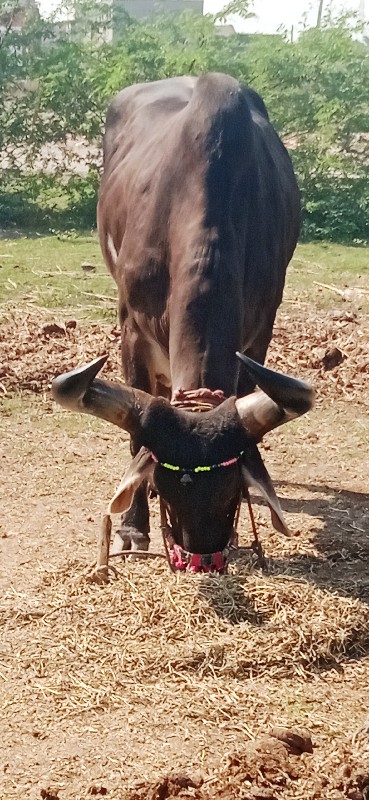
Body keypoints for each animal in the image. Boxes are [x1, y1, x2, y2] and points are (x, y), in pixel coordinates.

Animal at [51, 70, 310, 568]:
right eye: (169, 489)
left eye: (231, 492)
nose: (201, 557)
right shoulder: (132, 331)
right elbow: (138, 440)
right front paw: (133, 526)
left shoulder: (260, 330)